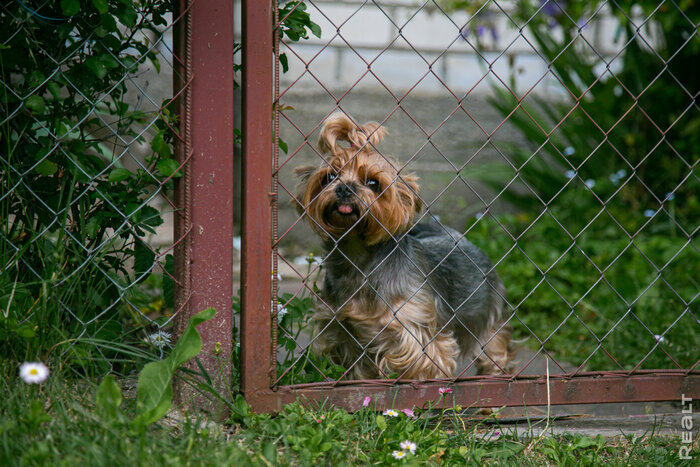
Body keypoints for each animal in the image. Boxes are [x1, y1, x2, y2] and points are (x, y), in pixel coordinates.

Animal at [296, 113, 516, 380]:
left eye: (373, 183)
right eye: (330, 176)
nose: (344, 188)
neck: (358, 255)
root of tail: (460, 238)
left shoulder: (417, 333)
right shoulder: (345, 333)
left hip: (489, 319)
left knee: (494, 354)